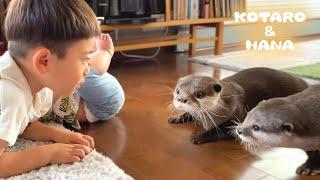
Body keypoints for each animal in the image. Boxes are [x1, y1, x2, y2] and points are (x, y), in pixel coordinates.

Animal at [169, 67, 308, 145]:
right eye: (178, 90)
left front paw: (198, 136)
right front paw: (177, 117)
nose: (181, 99)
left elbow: (222, 130)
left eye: (198, 94)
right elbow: (189, 113)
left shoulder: (238, 115)